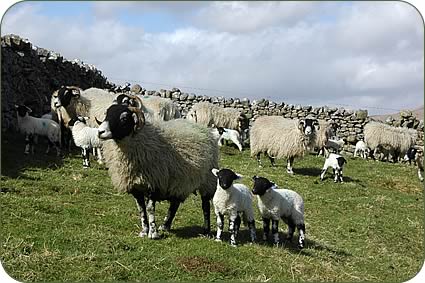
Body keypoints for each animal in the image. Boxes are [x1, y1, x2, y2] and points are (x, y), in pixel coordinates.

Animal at [97, 104, 219, 240]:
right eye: (107, 114)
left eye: (124, 118)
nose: (100, 132)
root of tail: (204, 129)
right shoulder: (136, 187)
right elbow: (141, 209)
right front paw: (144, 231)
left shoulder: (154, 182)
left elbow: (150, 208)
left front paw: (153, 233)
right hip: (180, 180)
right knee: (175, 204)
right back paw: (165, 225)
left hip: (207, 180)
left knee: (205, 205)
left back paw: (206, 231)